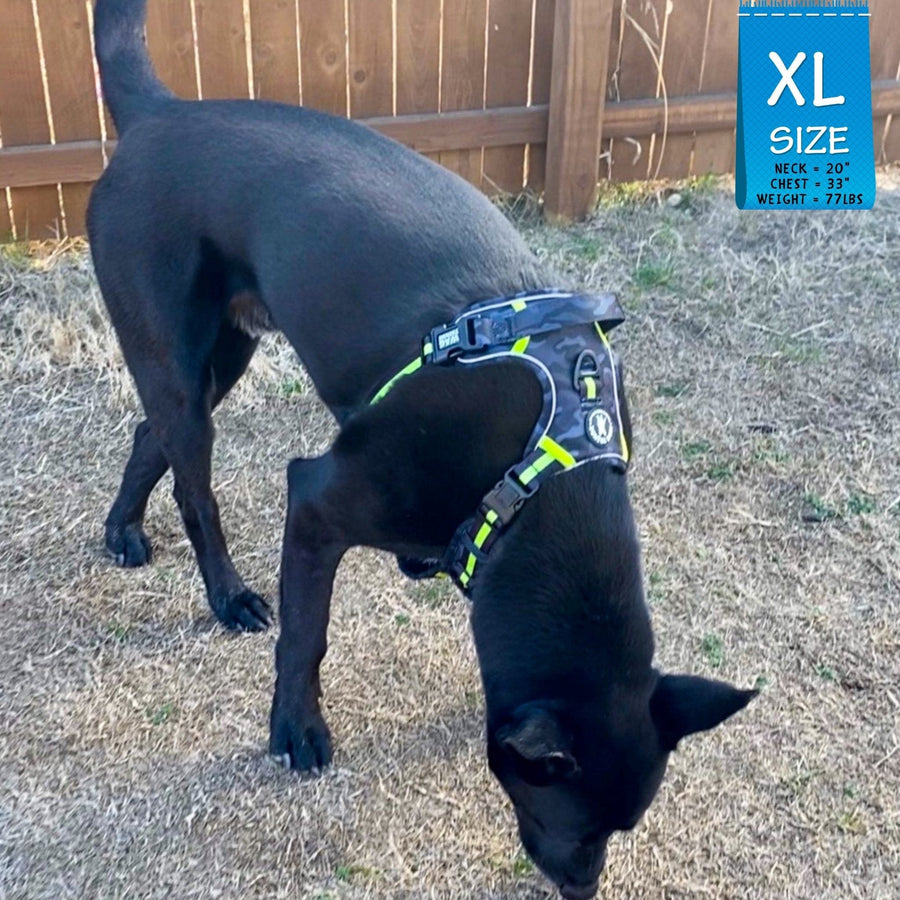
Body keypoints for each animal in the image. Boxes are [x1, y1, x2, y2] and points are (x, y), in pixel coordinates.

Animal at [89, 3, 756, 897]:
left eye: (626, 824)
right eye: (572, 818)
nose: (584, 888)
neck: (544, 470)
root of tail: (160, 115)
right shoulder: (319, 500)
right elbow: (306, 636)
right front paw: (295, 730)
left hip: (218, 357)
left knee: (146, 434)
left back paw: (123, 531)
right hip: (179, 359)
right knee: (194, 488)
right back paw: (228, 597)